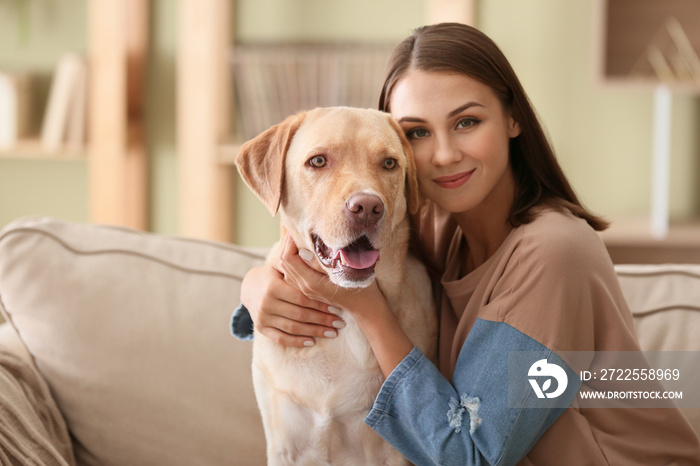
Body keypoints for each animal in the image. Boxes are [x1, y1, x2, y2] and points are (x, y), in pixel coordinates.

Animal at [238, 107, 434, 466]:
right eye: (318, 161)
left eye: (389, 163)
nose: (368, 207)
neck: (345, 309)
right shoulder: (284, 447)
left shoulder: (395, 453)